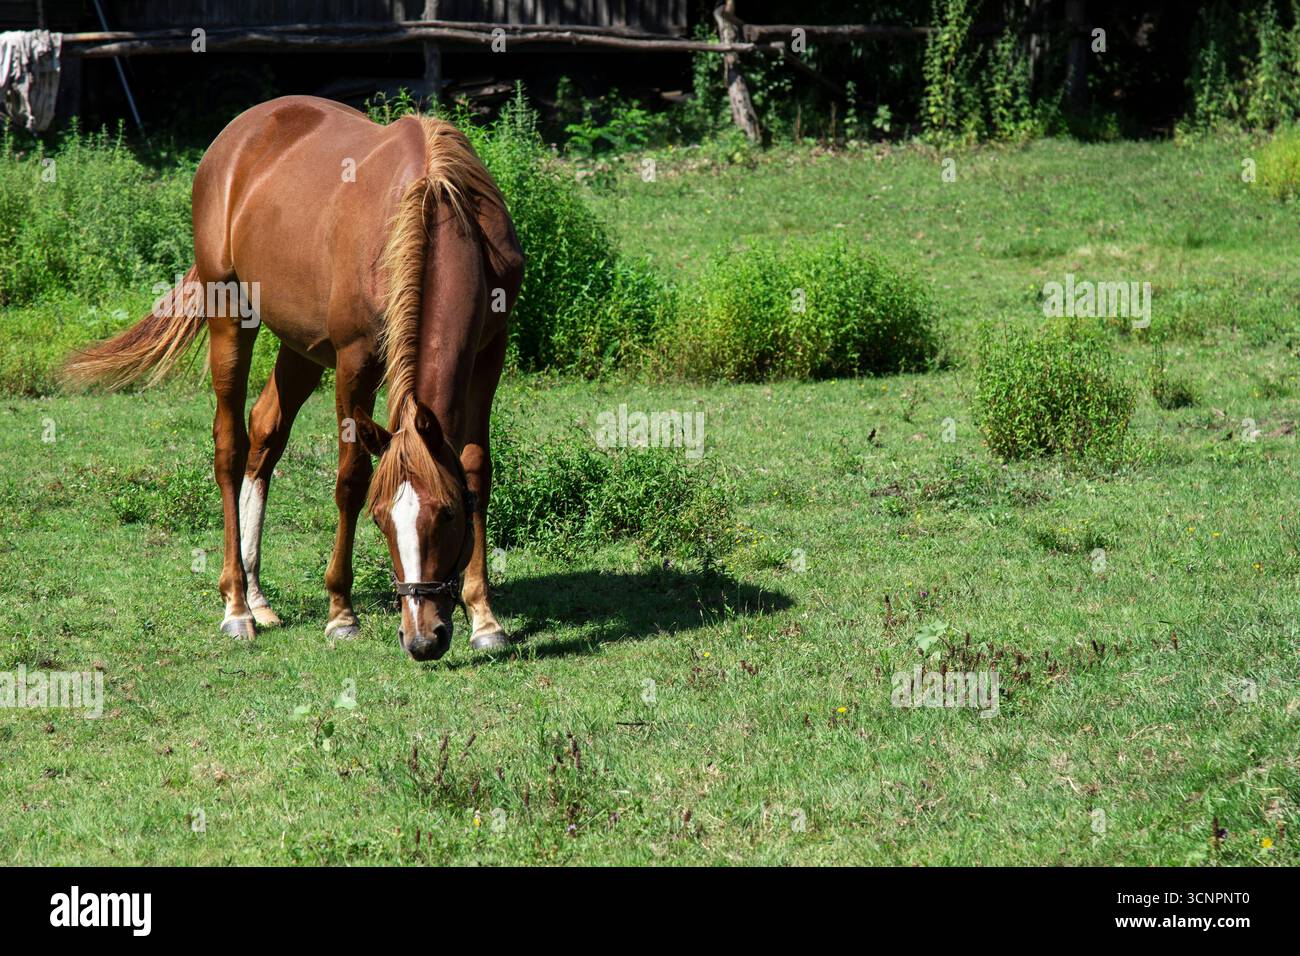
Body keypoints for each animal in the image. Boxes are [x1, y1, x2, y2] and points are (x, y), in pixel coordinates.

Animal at [63, 95, 525, 662]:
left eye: (447, 515)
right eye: (380, 520)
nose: (422, 639)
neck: (434, 205)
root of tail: (236, 137)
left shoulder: (490, 350)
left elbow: (477, 468)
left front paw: (484, 616)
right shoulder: (355, 361)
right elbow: (351, 478)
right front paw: (341, 613)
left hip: (301, 348)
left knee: (266, 432)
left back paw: (259, 597)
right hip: (230, 316)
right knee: (231, 446)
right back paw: (237, 605)